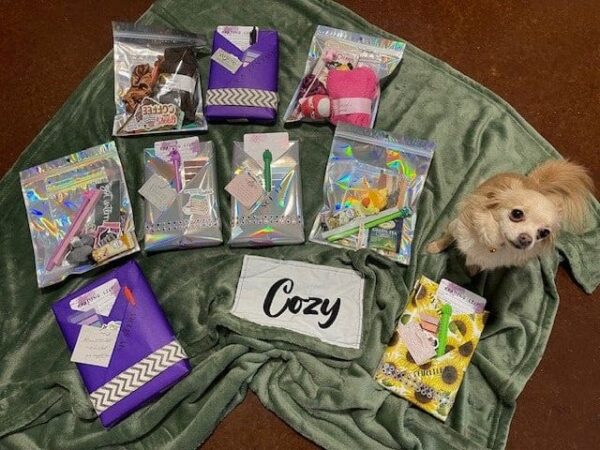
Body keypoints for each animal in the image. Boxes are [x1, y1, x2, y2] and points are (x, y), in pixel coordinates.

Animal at [428, 162, 592, 274]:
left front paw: (473, 267)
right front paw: (434, 247)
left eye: (544, 233)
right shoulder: (455, 225)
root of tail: (534, 183)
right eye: (517, 214)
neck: (494, 243)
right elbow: (447, 238)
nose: (527, 239)